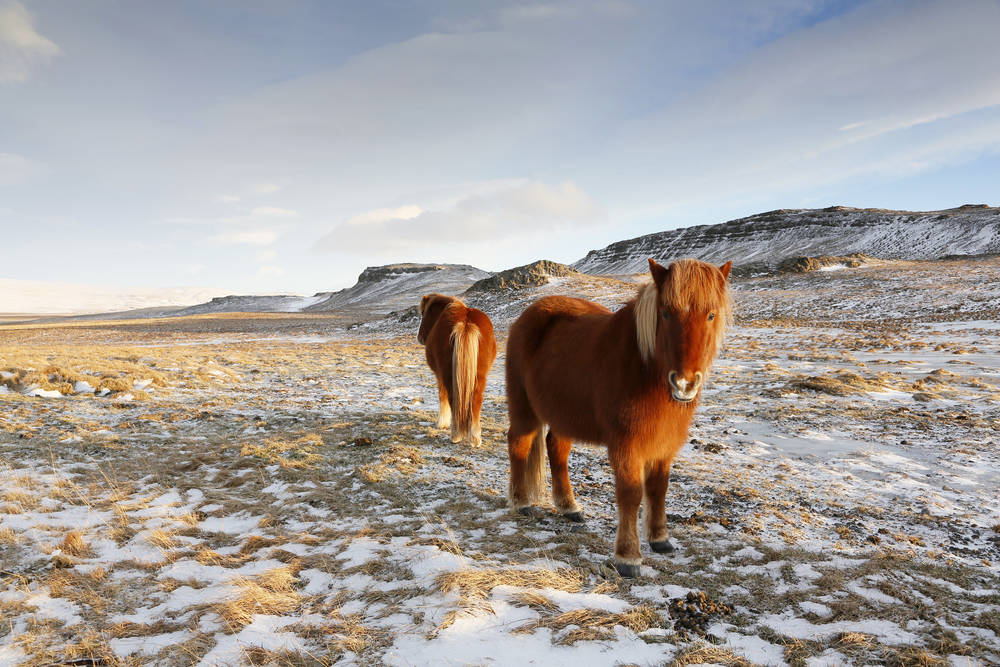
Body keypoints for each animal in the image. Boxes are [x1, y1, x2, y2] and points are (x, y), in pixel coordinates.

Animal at [418, 294, 497, 446]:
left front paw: (442, 423)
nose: (420, 338)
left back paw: (455, 435)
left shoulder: (439, 375)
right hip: (480, 376)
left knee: (453, 398)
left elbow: (442, 396)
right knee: (476, 400)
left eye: (423, 313)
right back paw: (475, 438)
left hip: (448, 375)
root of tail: (466, 323)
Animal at [505, 258, 732, 577]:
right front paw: (628, 557)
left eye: (711, 315)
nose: (684, 384)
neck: (643, 369)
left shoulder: (664, 446)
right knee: (519, 445)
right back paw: (521, 503)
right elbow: (631, 495)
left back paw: (569, 507)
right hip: (524, 408)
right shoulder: (626, 446)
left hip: (564, 414)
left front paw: (660, 539)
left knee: (556, 450)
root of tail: (528, 315)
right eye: (665, 313)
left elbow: (658, 490)